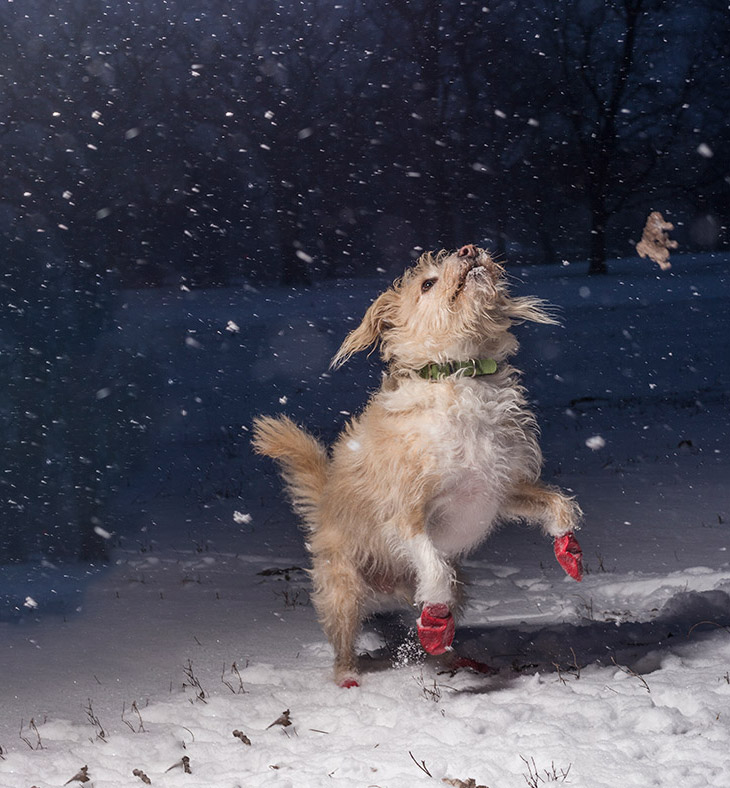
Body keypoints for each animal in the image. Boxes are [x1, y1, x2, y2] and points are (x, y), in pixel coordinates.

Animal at [253, 243, 584, 688]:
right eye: (427, 283)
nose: (468, 249)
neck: (460, 375)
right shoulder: (406, 515)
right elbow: (433, 566)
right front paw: (434, 621)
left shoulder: (502, 489)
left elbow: (558, 504)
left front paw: (568, 549)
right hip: (343, 590)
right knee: (347, 642)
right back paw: (352, 675)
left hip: (453, 587)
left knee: (431, 620)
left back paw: (454, 657)